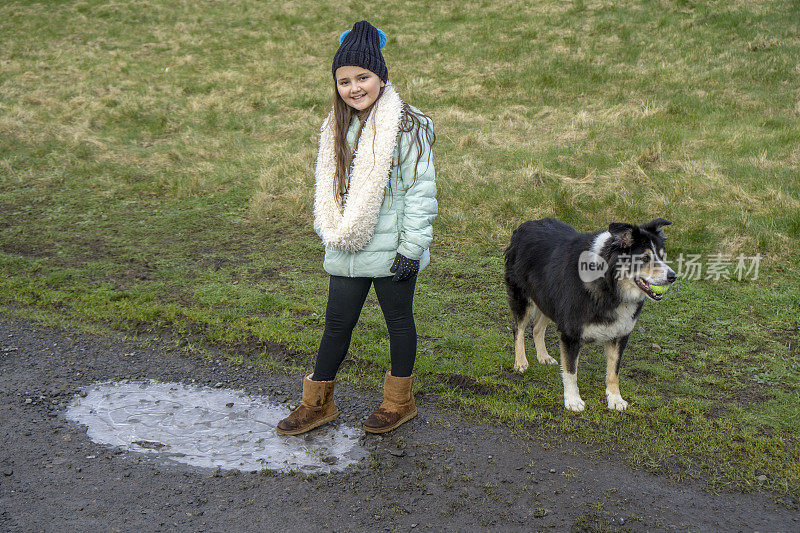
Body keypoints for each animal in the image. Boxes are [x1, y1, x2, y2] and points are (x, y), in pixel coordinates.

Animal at [506, 216, 676, 412]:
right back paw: (520, 362)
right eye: (645, 258)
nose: (673, 276)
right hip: (523, 298)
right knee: (518, 329)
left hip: (548, 299)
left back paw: (543, 356)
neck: (610, 287)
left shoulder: (620, 334)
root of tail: (527, 224)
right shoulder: (571, 334)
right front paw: (572, 400)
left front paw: (615, 398)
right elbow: (570, 370)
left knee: (537, 328)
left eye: (662, 256)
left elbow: (613, 371)